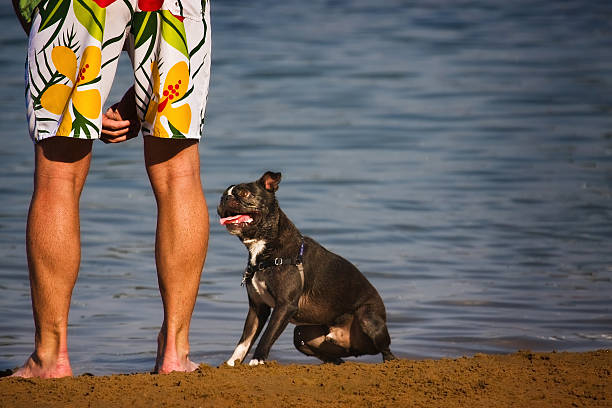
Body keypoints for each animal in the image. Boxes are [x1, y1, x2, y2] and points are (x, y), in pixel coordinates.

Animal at [218, 171, 394, 364]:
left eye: (243, 193)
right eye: (224, 194)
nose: (224, 198)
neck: (264, 249)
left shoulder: (285, 306)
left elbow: (267, 336)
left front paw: (258, 360)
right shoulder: (258, 309)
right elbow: (244, 341)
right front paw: (231, 364)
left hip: (368, 319)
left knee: (386, 350)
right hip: (301, 334)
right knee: (336, 358)